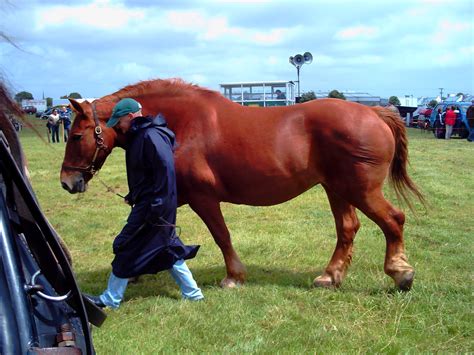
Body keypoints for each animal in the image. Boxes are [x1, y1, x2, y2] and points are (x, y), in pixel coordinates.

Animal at [60, 80, 422, 292]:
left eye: (75, 135)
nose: (67, 182)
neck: (180, 124)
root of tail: (375, 112)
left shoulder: (203, 198)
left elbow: (222, 235)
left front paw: (233, 276)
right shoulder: (170, 196)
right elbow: (139, 228)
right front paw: (132, 269)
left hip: (359, 190)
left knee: (393, 220)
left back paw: (400, 273)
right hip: (337, 189)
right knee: (348, 228)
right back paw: (330, 276)